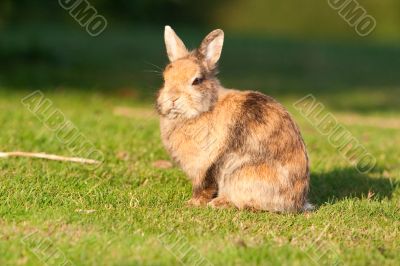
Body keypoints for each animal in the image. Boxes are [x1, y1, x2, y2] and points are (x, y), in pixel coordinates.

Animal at [156, 25, 312, 212]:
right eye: (165, 78)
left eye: (197, 80)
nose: (172, 98)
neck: (205, 109)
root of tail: (297, 202)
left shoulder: (205, 165)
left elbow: (204, 187)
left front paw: (192, 203)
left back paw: (219, 203)